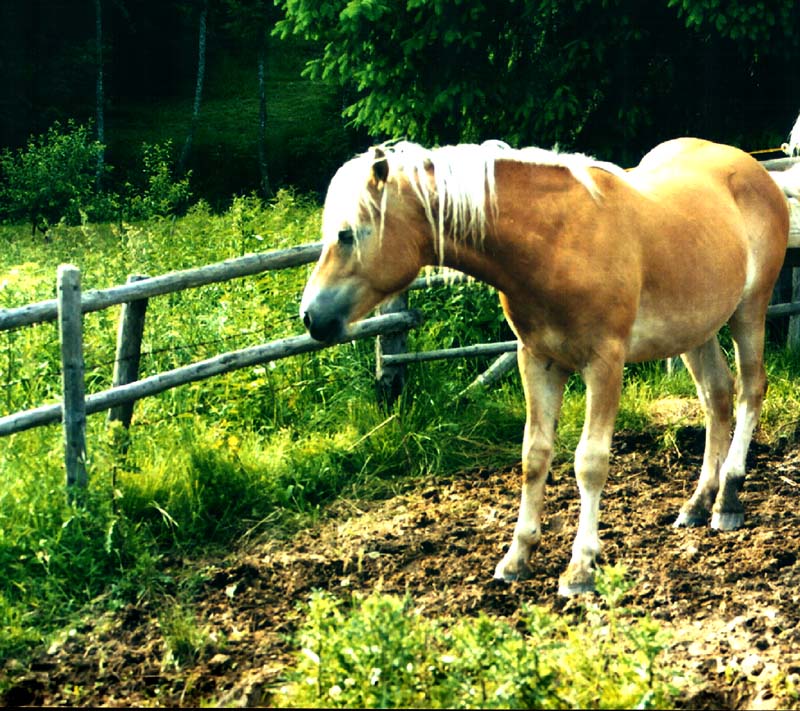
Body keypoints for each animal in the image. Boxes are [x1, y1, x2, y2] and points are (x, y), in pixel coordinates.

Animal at [300, 137, 790, 595]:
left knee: (750, 391)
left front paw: (581, 567)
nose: (310, 317)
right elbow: (533, 457)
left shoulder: (604, 365)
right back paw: (698, 502)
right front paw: (517, 557)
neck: (555, 241)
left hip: (749, 311)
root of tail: (751, 168)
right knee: (717, 398)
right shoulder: (537, 361)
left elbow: (590, 462)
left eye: (347, 234)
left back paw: (728, 499)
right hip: (696, 330)